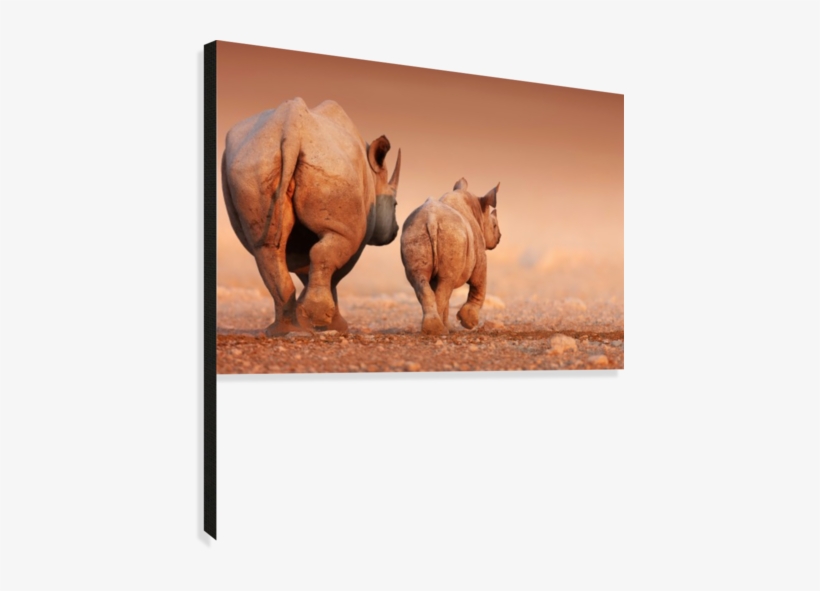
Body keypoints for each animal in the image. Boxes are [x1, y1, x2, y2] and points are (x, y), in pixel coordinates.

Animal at [222, 98, 401, 336]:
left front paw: (311, 319)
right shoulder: (357, 232)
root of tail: (291, 129)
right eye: (395, 204)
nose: (395, 231)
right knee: (331, 245)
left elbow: (304, 267)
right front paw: (334, 326)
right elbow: (336, 271)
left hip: (253, 163)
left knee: (266, 250)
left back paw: (283, 330)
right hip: (330, 164)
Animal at [400, 178, 501, 335]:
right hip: (452, 235)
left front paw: (451, 326)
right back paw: (440, 330)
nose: (499, 237)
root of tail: (431, 219)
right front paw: (468, 322)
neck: (478, 212)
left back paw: (433, 329)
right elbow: (479, 284)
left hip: (414, 233)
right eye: (495, 226)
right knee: (446, 283)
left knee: (422, 280)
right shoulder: (479, 255)